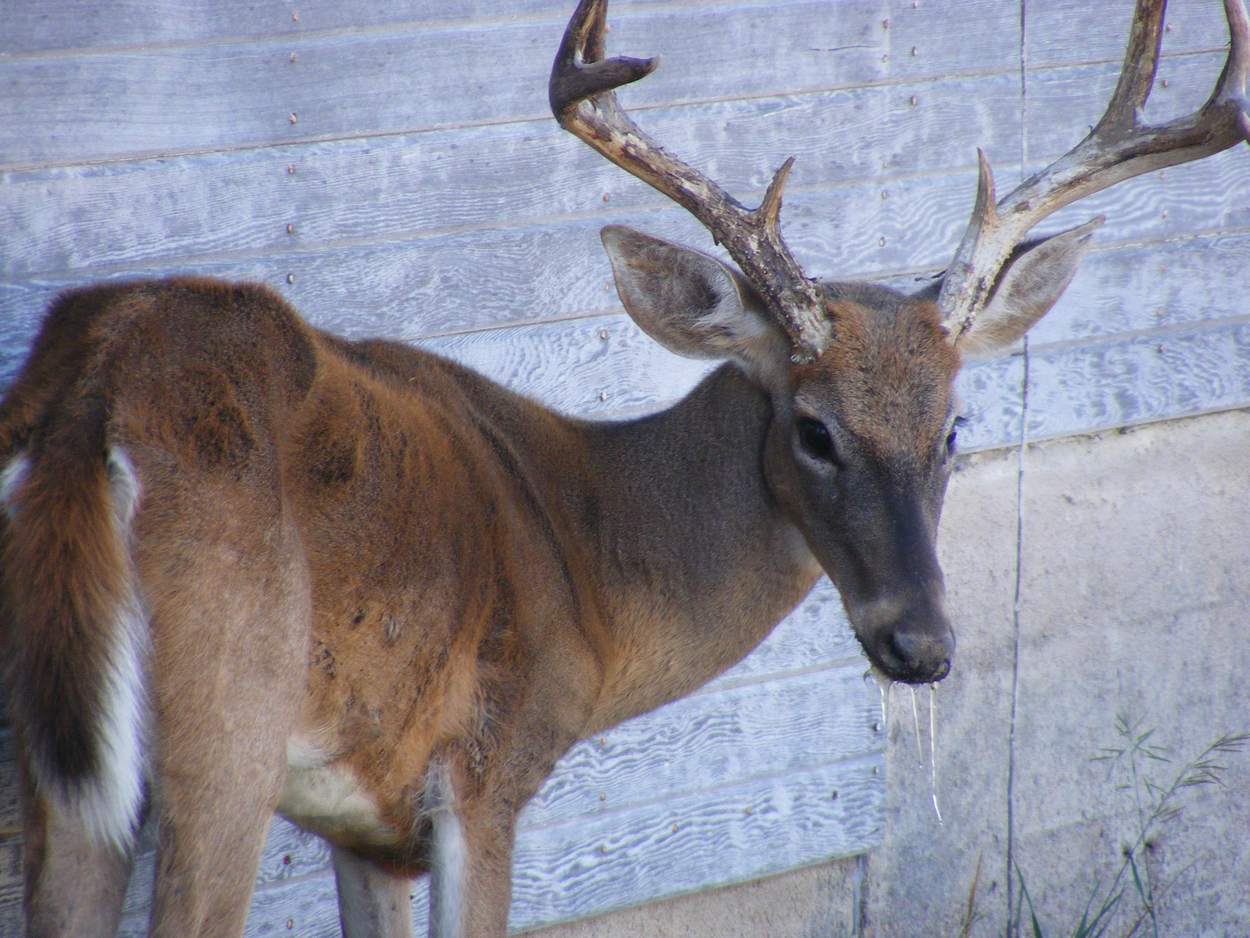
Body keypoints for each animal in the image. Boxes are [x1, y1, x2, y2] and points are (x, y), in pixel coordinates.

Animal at [0, 0, 1245, 935]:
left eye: (953, 424)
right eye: (813, 428)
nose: (920, 645)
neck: (586, 560)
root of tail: (97, 389)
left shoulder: (370, 822)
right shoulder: (484, 770)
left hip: (68, 767)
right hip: (226, 722)